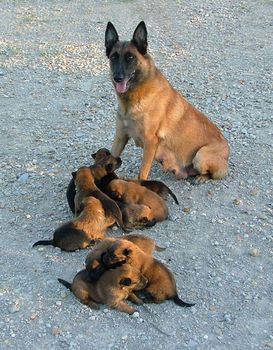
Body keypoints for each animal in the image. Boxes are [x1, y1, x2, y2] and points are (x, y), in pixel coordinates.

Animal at [105, 21, 228, 183]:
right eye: (114, 57)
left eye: (130, 57)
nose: (117, 77)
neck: (133, 98)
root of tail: (227, 150)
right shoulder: (120, 136)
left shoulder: (150, 141)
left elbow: (142, 173)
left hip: (200, 156)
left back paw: (202, 177)